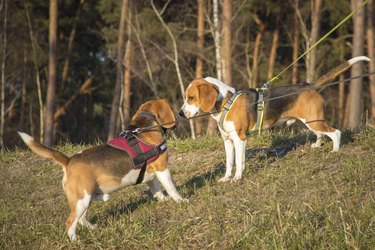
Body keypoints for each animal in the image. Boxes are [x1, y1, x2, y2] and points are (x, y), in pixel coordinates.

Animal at [19, 98, 187, 241]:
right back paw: (75, 240)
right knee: (70, 222)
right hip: (82, 199)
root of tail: (69, 160)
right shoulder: (162, 168)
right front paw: (180, 200)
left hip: (85, 199)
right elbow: (171, 187)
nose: (180, 114)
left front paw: (164, 200)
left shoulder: (150, 176)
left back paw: (92, 227)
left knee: (81, 219)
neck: (144, 127)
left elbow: (157, 190)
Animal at [179, 56, 370, 182]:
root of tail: (309, 86)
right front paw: (226, 178)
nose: (180, 114)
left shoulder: (240, 139)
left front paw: (237, 178)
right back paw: (317, 145)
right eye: (186, 97)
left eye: (191, 97)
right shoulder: (228, 141)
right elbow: (229, 163)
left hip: (314, 122)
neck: (226, 102)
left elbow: (239, 162)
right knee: (321, 134)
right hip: (312, 122)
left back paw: (335, 150)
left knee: (335, 132)